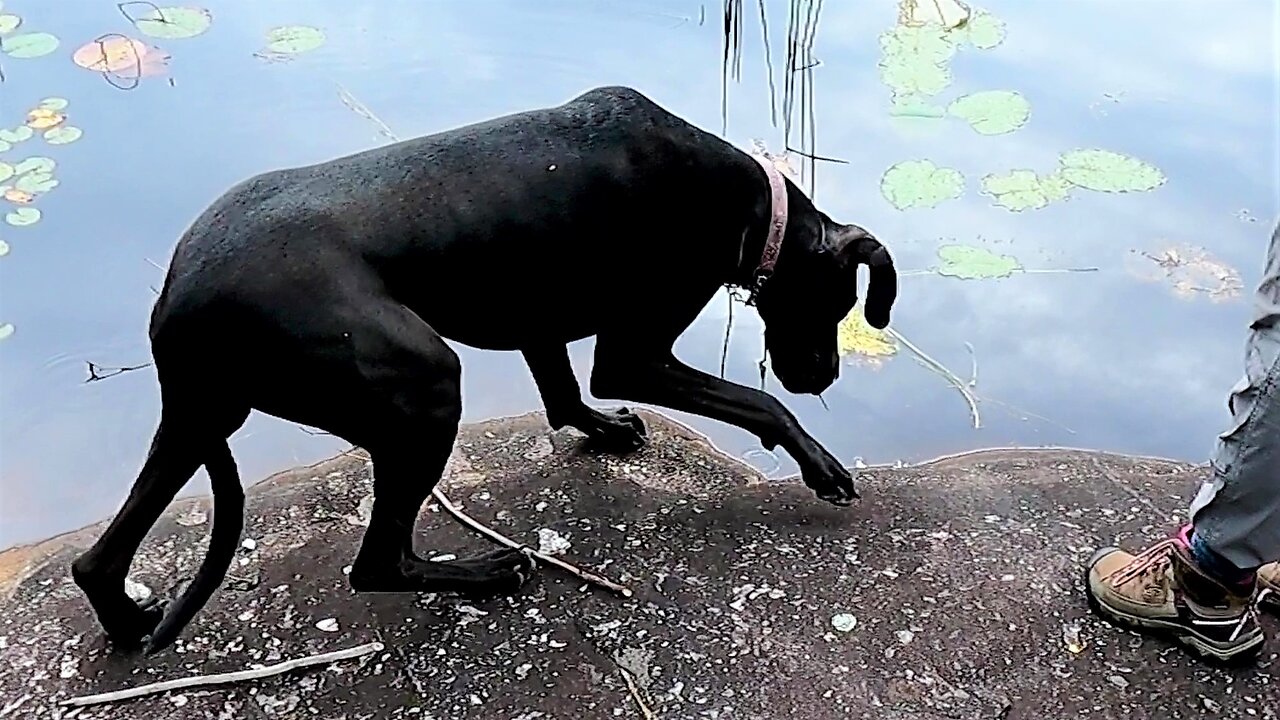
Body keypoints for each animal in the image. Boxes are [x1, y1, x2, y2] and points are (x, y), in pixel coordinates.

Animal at [67, 85, 890, 650]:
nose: (824, 379)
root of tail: (177, 296)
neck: (752, 204)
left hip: (202, 418)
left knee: (96, 561)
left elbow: (563, 396)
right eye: (839, 307)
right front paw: (820, 465)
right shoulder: (636, 356)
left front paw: (603, 432)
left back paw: (128, 624)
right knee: (380, 563)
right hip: (425, 384)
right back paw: (486, 575)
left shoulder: (542, 321)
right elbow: (757, 403)